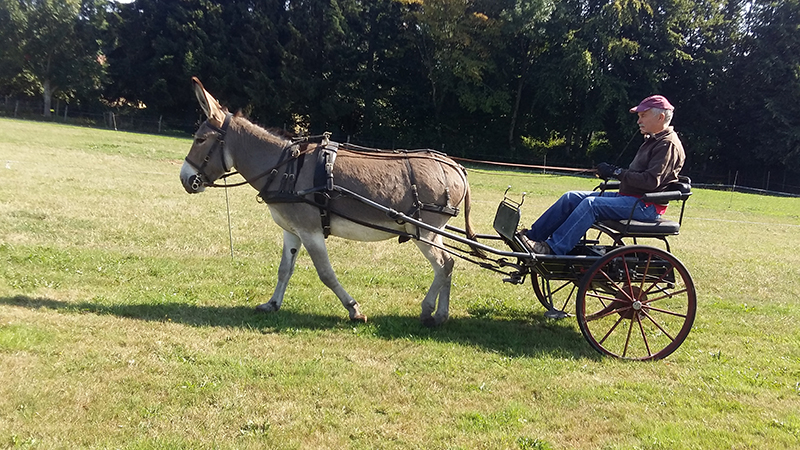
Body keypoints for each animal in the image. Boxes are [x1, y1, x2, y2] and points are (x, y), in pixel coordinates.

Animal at [180, 78, 480, 326]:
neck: (285, 169)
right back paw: (441, 314)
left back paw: (429, 311)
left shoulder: (311, 230)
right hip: (433, 232)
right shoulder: (293, 230)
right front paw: (272, 304)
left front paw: (354, 309)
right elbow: (284, 269)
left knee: (443, 265)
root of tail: (455, 166)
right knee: (448, 265)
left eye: (200, 139)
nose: (185, 179)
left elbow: (325, 273)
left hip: (424, 231)